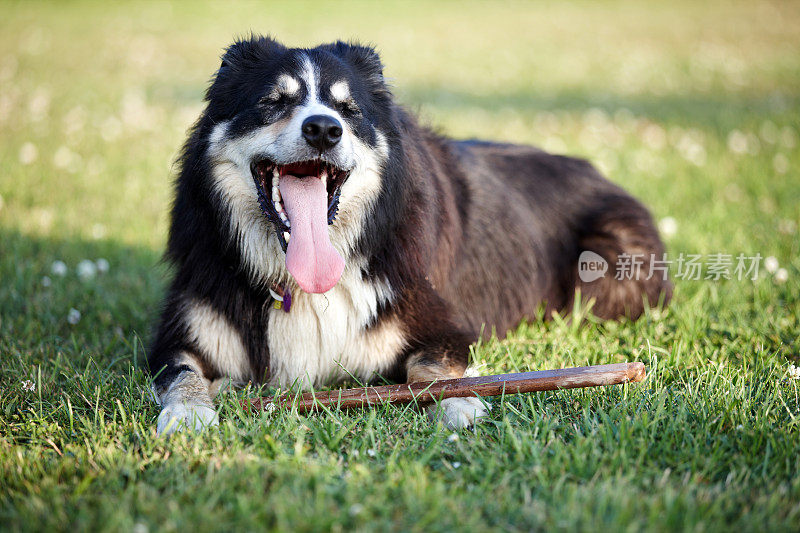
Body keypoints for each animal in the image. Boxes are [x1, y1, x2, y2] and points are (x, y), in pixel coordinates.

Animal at [148, 35, 668, 434]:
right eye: (272, 102)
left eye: (349, 111)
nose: (324, 130)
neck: (305, 285)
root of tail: (596, 169)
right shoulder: (178, 335)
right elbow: (181, 375)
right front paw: (188, 415)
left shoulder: (440, 322)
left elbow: (434, 371)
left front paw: (458, 404)